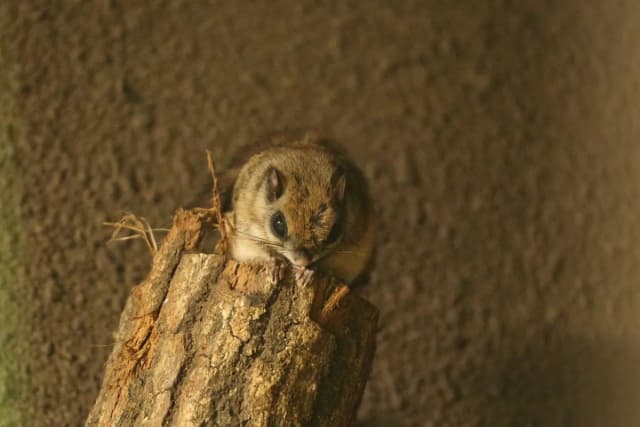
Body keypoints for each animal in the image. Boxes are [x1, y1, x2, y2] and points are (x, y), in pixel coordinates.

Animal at [217, 130, 375, 285]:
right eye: (278, 225)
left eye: (334, 233)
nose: (302, 261)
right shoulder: (245, 234)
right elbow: (260, 250)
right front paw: (274, 265)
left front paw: (306, 273)